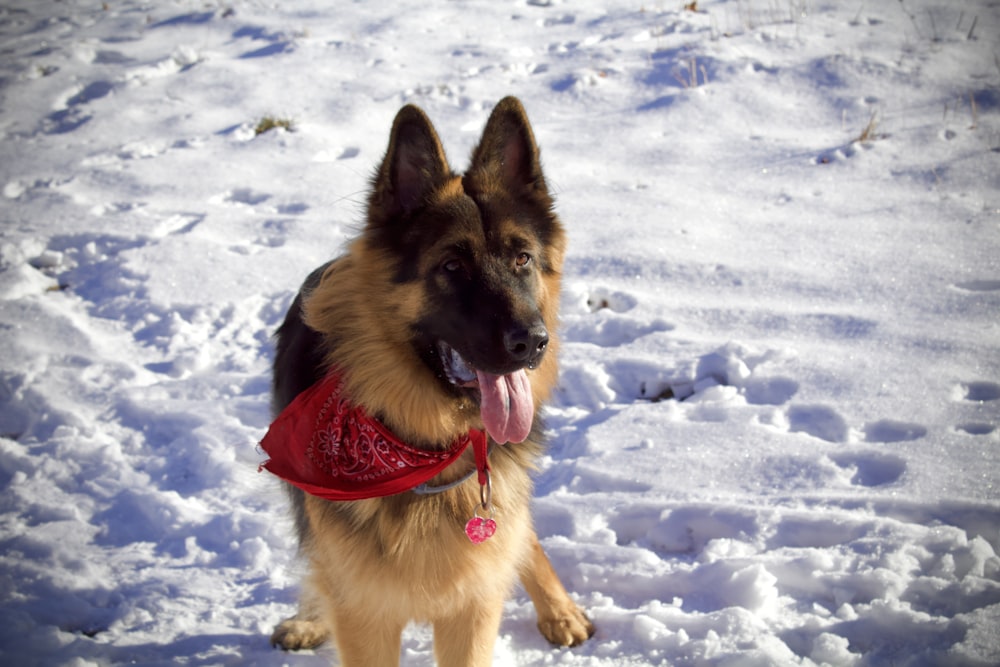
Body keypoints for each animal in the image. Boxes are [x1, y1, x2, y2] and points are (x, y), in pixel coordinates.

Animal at [264, 95, 592, 667]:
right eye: (453, 266)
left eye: (523, 258)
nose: (533, 342)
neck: (427, 447)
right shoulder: (365, 614)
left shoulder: (473, 607)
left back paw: (559, 609)